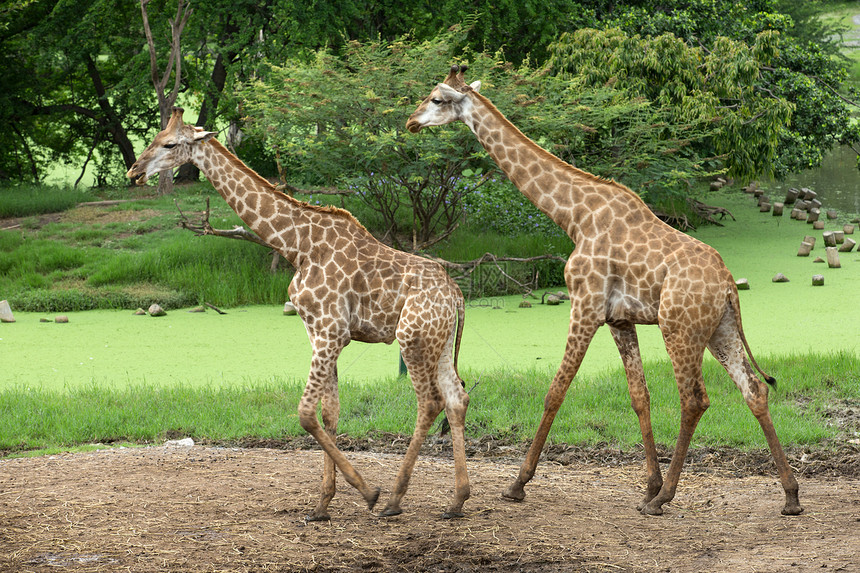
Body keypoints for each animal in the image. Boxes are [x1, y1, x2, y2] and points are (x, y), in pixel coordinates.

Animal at [129, 106, 470, 520]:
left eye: (169, 144)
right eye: (154, 138)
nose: (133, 171)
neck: (296, 245)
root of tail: (456, 294)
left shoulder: (330, 331)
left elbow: (306, 413)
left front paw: (367, 492)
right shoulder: (320, 332)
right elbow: (330, 412)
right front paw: (323, 503)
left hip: (413, 339)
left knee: (429, 402)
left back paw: (393, 499)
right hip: (440, 341)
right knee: (456, 398)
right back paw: (457, 500)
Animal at [406, 66, 804, 512]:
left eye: (437, 98)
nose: (411, 122)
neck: (573, 216)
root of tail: (728, 286)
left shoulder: (585, 305)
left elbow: (555, 391)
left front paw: (518, 484)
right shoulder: (619, 319)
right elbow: (639, 396)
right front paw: (648, 483)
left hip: (679, 329)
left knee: (695, 399)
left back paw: (665, 498)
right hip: (720, 329)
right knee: (754, 390)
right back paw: (790, 496)